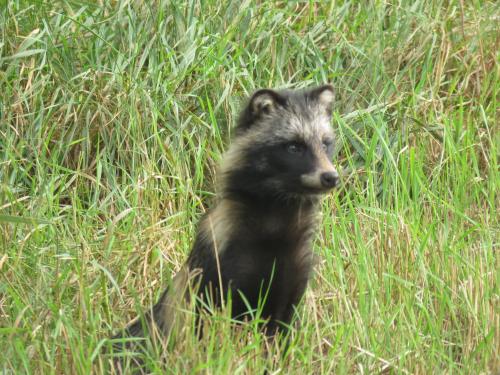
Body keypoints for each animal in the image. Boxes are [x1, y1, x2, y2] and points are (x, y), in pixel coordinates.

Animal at [118, 85, 340, 346]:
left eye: (325, 144)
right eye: (294, 147)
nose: (331, 177)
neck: (277, 214)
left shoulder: (293, 279)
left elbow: (282, 334)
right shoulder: (222, 273)